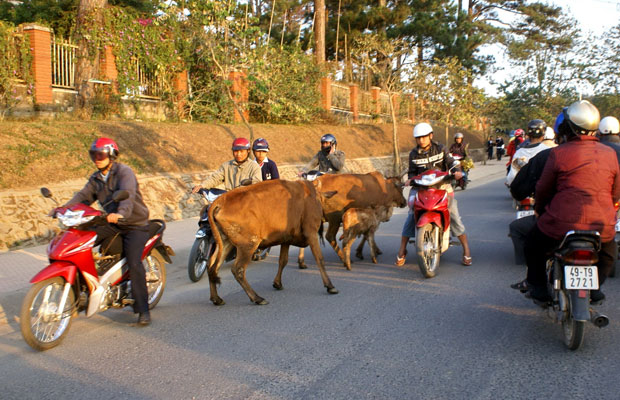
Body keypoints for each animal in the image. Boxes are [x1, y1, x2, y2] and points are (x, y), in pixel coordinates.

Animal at [206, 178, 336, 306]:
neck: (313, 195)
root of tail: (220, 201)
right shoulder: (311, 233)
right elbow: (319, 259)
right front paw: (330, 286)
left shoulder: (286, 239)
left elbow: (283, 261)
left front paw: (277, 283)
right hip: (249, 245)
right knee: (237, 269)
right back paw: (257, 298)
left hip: (226, 243)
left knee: (211, 266)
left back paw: (216, 298)